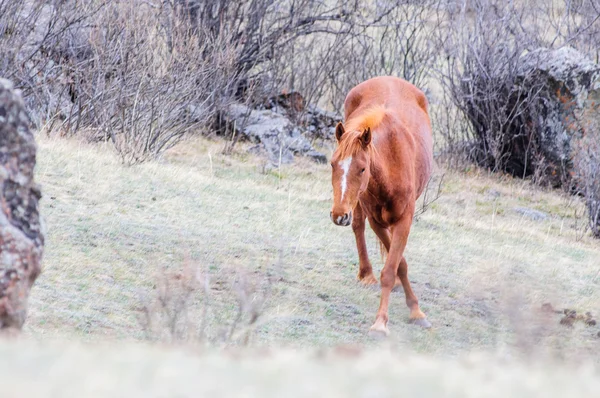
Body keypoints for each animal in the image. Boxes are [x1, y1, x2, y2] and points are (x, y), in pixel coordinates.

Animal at [330, 75, 434, 336]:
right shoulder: (376, 220)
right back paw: (366, 274)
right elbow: (398, 264)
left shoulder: (404, 221)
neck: (392, 162)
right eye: (332, 164)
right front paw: (388, 318)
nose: (338, 215)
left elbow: (392, 268)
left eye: (362, 168)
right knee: (358, 226)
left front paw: (412, 313)